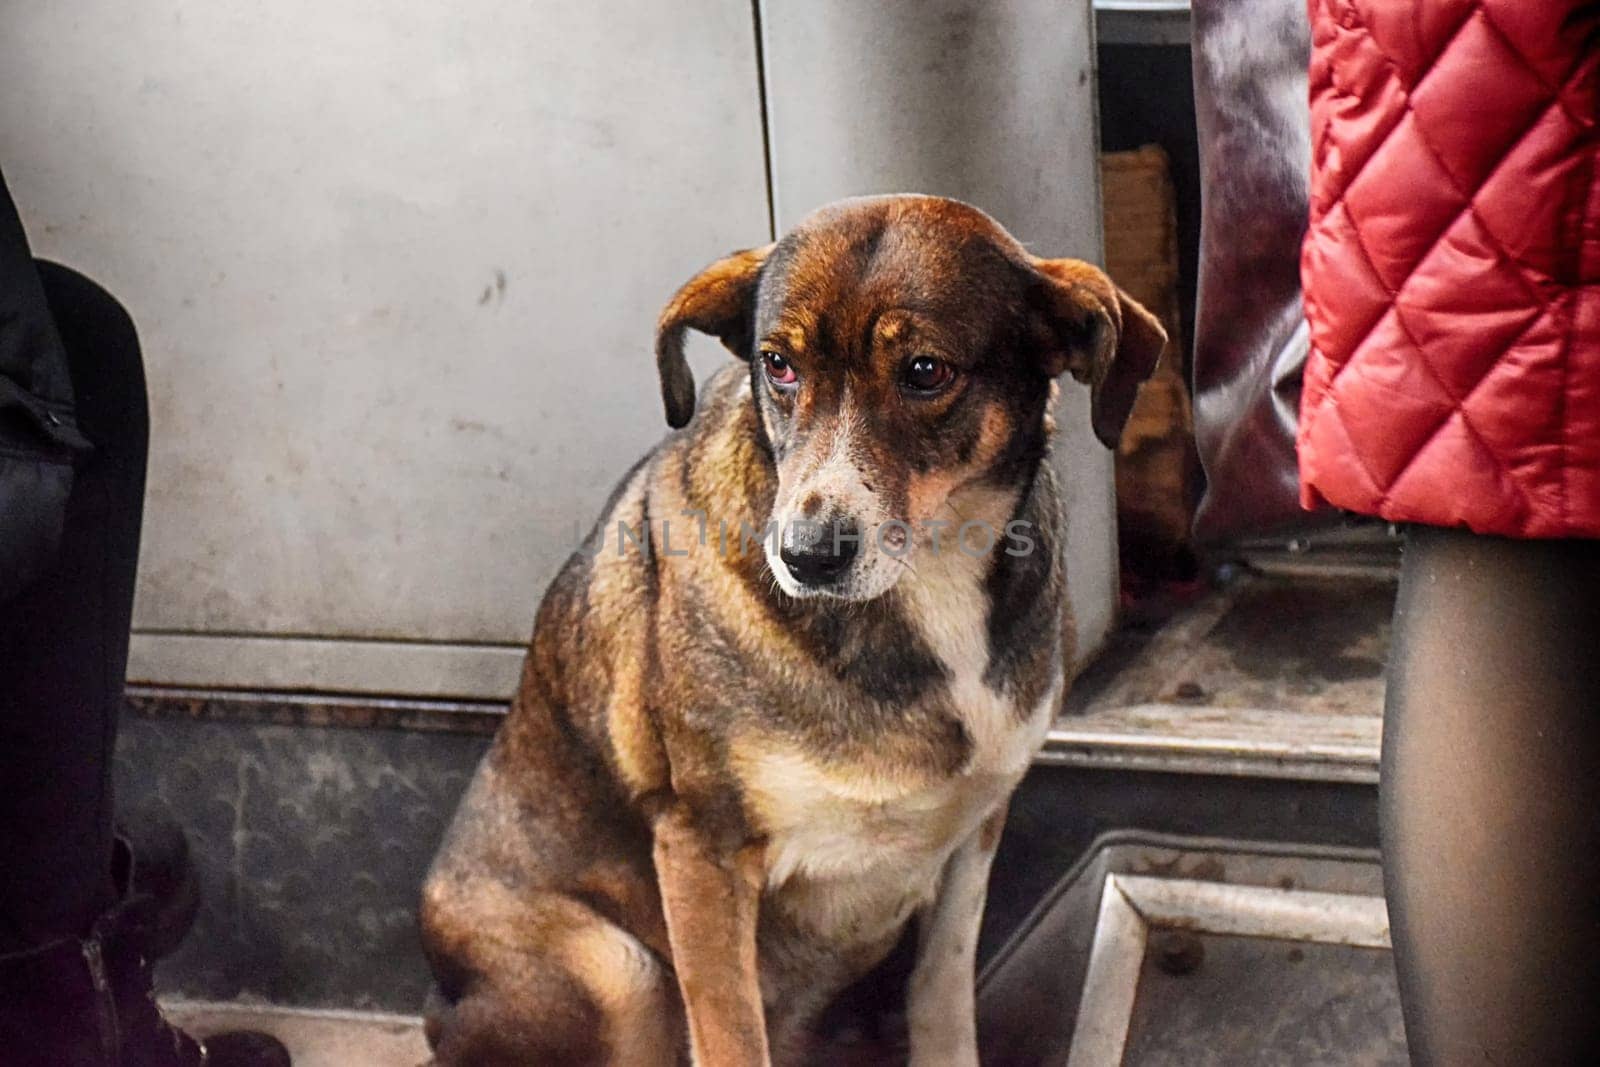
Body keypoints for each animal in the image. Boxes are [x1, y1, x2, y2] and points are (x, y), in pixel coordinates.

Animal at [416, 195, 1164, 1062]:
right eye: (777, 364)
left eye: (926, 371)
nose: (806, 555)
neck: (928, 583)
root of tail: (435, 1007)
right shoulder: (700, 846)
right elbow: (730, 1033)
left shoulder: (977, 827)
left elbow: (941, 993)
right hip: (617, 970)